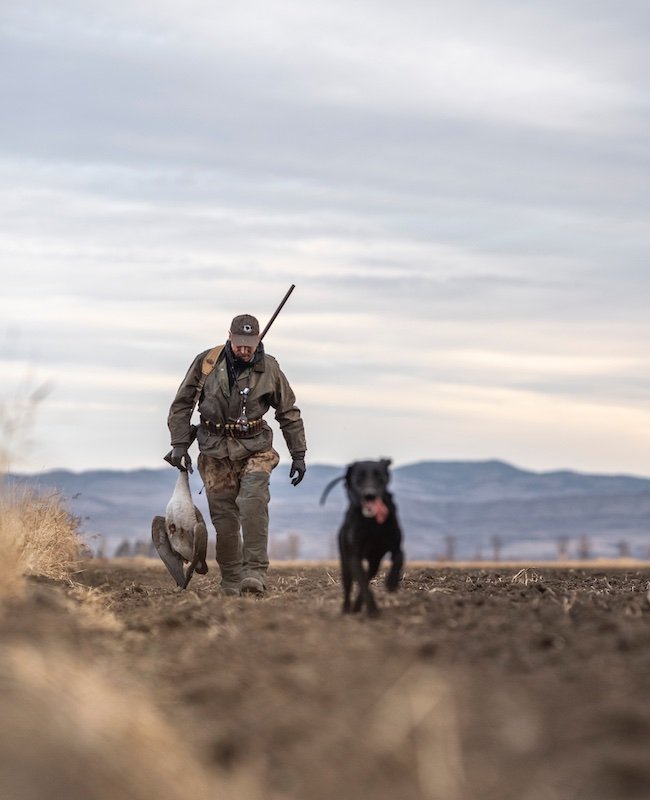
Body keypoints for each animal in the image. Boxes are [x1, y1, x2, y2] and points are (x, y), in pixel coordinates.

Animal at [318, 456, 402, 620]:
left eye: (380, 477)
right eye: (359, 478)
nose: (370, 494)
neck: (372, 522)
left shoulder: (396, 545)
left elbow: (399, 558)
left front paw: (392, 583)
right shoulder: (354, 557)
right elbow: (362, 583)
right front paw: (373, 610)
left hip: (374, 562)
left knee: (368, 576)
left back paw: (357, 606)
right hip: (345, 564)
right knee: (350, 587)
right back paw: (347, 609)